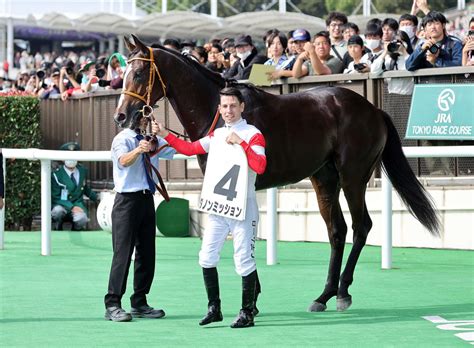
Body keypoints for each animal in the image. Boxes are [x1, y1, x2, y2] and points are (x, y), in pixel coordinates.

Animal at [115, 34, 440, 312]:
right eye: (126, 72)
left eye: (140, 73)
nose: (121, 115)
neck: (220, 112)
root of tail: (373, 110)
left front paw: (252, 297)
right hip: (324, 178)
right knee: (337, 231)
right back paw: (323, 295)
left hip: (353, 176)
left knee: (362, 227)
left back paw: (343, 292)